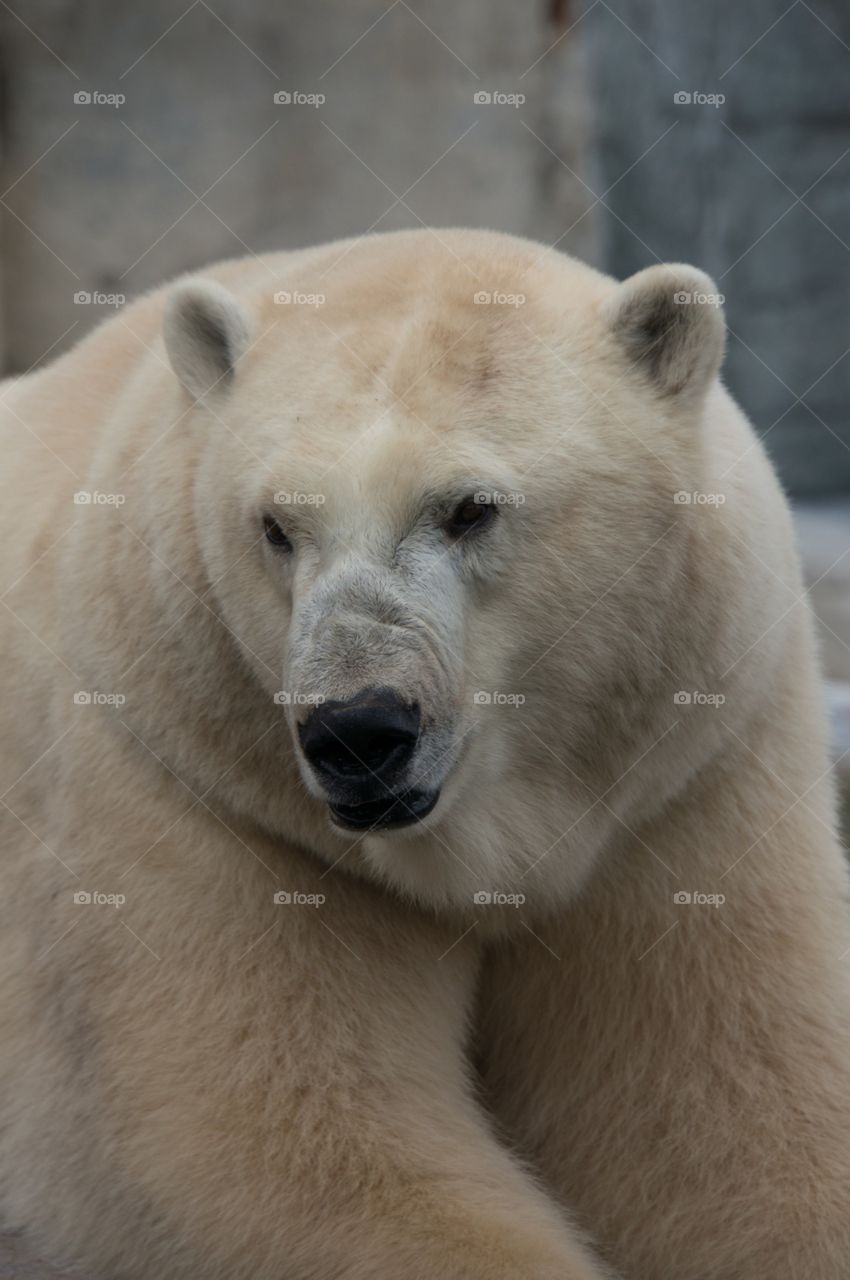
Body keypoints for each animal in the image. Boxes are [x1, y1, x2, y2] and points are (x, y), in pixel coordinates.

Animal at [0, 227, 848, 1280]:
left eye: (470, 508)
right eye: (275, 526)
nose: (357, 730)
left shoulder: (687, 775)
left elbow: (727, 1111)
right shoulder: (196, 777)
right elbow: (256, 1145)